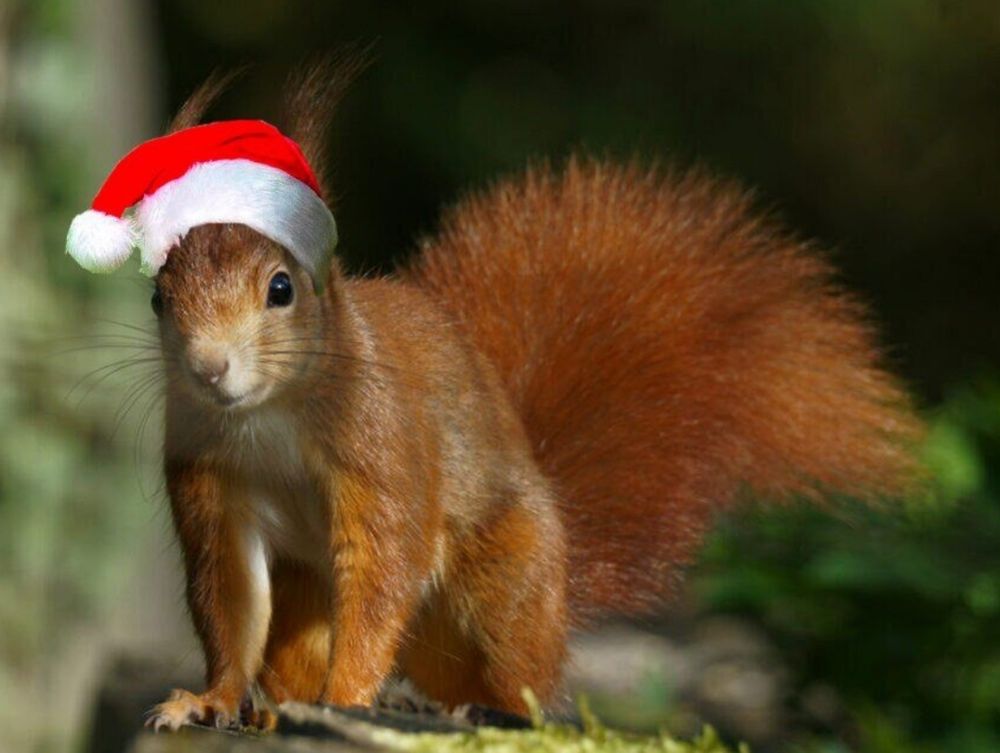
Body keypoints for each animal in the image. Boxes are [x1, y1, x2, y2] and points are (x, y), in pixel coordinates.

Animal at [84, 65, 922, 731]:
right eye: (158, 297)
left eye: (282, 288)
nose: (209, 368)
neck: (265, 418)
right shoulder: (209, 487)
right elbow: (228, 602)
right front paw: (210, 698)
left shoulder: (384, 451)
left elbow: (383, 574)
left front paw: (348, 694)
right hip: (310, 597)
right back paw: (281, 704)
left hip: (504, 586)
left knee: (520, 676)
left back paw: (470, 703)